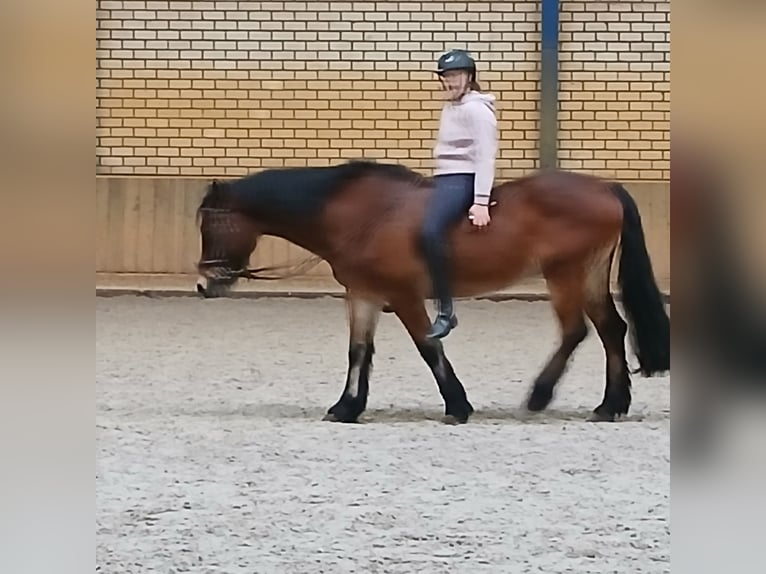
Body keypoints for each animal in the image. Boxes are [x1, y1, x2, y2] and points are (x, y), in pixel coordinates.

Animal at [195, 160, 670, 424]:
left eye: (212, 225)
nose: (203, 284)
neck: (358, 214)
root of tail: (604, 187)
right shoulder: (363, 294)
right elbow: (358, 351)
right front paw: (347, 408)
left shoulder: (405, 296)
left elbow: (428, 347)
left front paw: (457, 405)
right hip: (587, 274)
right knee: (611, 330)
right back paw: (610, 405)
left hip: (565, 274)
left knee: (577, 331)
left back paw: (541, 396)